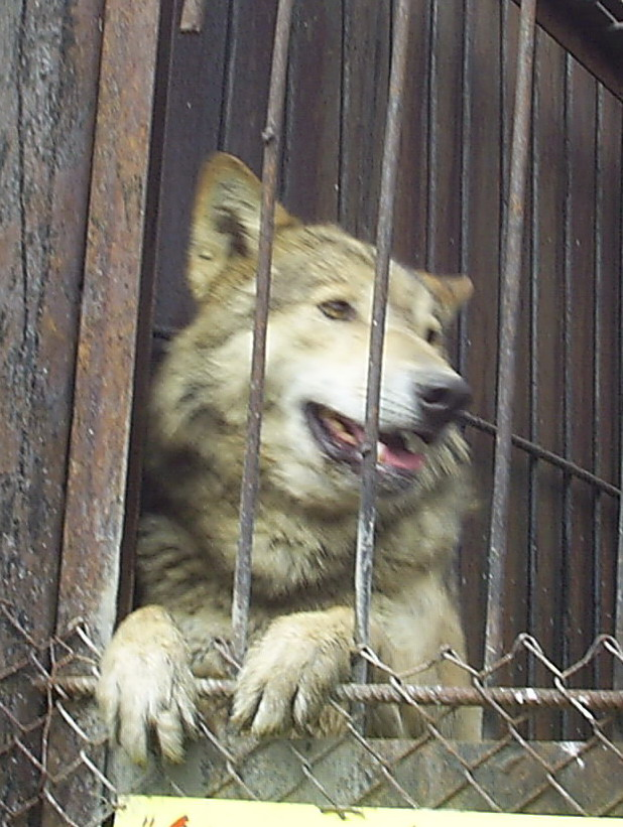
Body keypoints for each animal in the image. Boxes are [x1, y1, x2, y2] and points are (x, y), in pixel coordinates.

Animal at [97, 152, 478, 764]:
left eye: (431, 335)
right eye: (337, 309)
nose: (451, 396)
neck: (290, 540)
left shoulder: (439, 708)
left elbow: (355, 622)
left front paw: (294, 654)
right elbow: (143, 616)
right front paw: (145, 675)